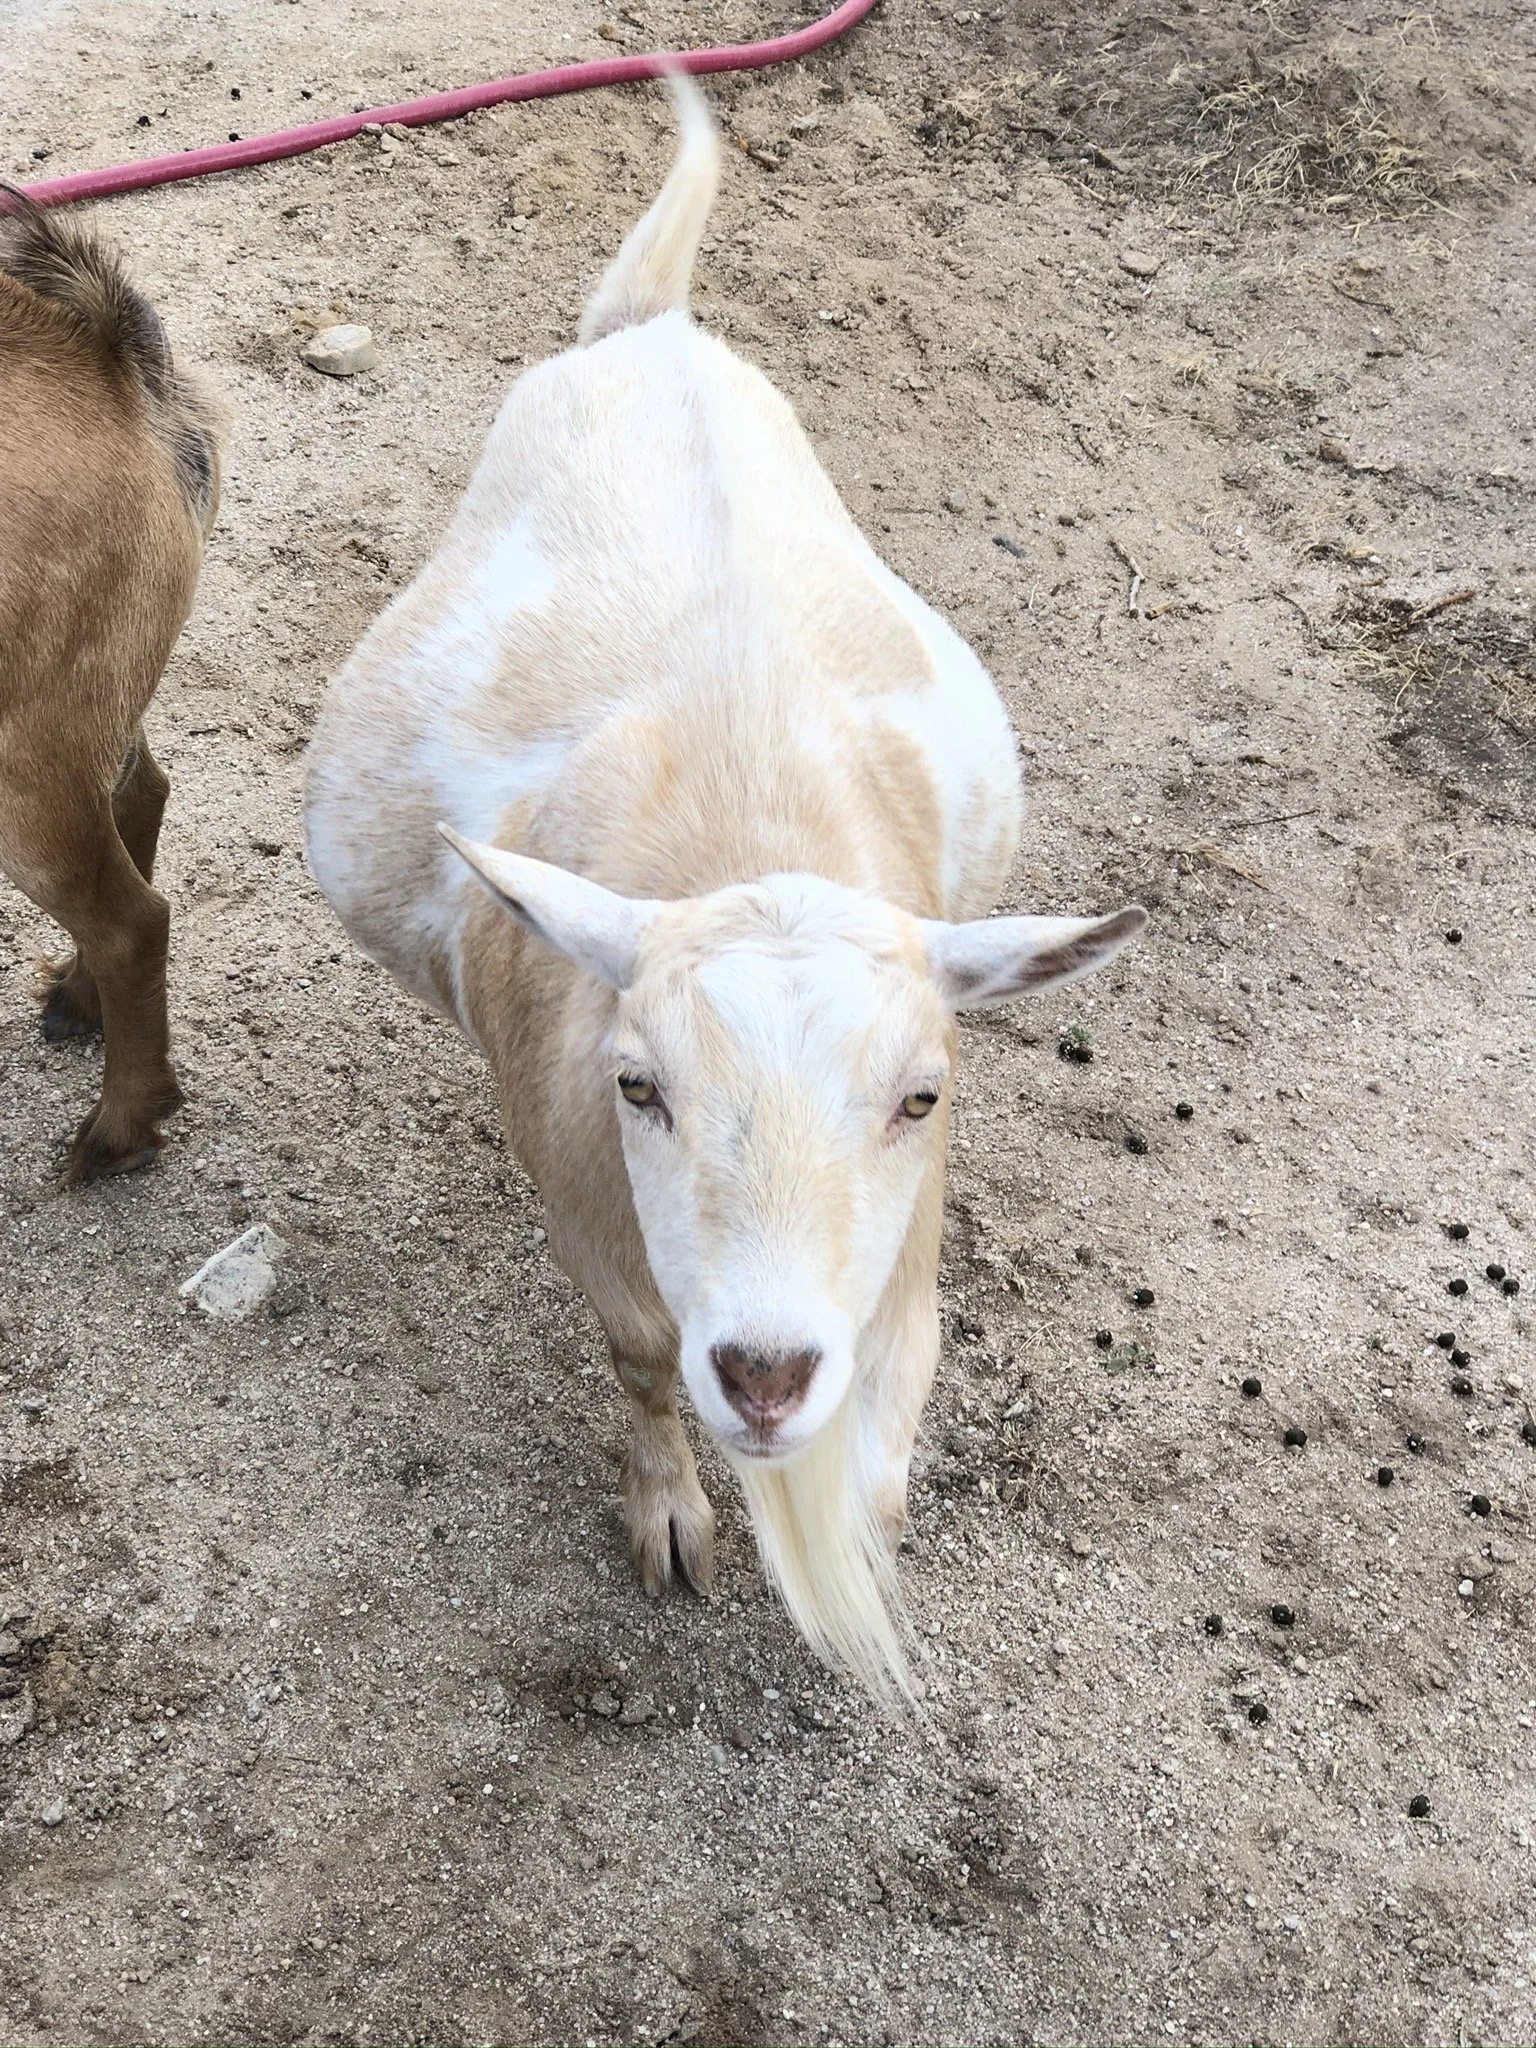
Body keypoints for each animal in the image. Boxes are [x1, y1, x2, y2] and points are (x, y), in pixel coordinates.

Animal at [305, 78, 1145, 1699]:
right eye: (640, 1085)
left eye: (922, 1095)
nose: (762, 1373)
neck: (745, 822)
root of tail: (654, 329)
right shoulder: (581, 1181)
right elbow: (636, 1357)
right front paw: (673, 1520)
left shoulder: (904, 1246)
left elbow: (898, 1394)